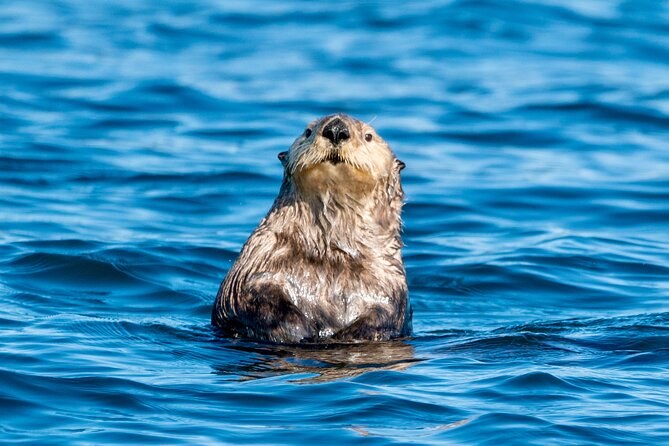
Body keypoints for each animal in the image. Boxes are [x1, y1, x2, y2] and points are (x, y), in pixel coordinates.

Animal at [211, 114, 411, 343]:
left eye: (368, 136)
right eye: (308, 131)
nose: (336, 129)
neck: (330, 252)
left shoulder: (389, 282)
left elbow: (384, 318)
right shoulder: (257, 261)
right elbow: (252, 299)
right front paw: (298, 330)